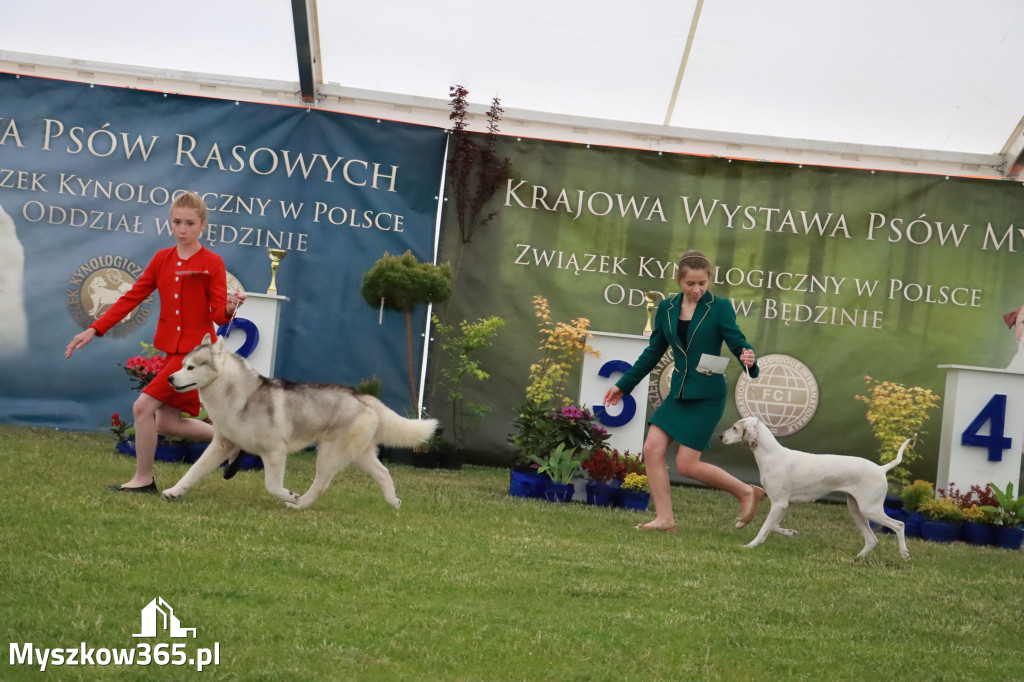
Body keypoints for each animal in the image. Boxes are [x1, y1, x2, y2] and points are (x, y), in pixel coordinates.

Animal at [163, 331, 436, 507]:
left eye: (191, 367)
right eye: (182, 364)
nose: (170, 378)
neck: (238, 394)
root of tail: (360, 395)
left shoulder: (274, 451)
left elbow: (272, 486)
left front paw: (289, 495)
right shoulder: (221, 445)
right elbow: (193, 471)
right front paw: (174, 492)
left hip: (329, 455)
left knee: (320, 485)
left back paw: (299, 503)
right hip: (359, 454)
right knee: (383, 472)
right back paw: (393, 500)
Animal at [720, 413, 913, 557]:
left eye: (735, 428)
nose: (721, 436)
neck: (772, 456)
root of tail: (881, 469)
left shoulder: (779, 503)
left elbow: (764, 528)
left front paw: (751, 545)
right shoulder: (784, 505)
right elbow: (773, 526)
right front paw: (791, 533)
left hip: (870, 509)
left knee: (899, 525)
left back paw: (904, 553)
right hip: (856, 510)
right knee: (872, 539)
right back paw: (858, 558)